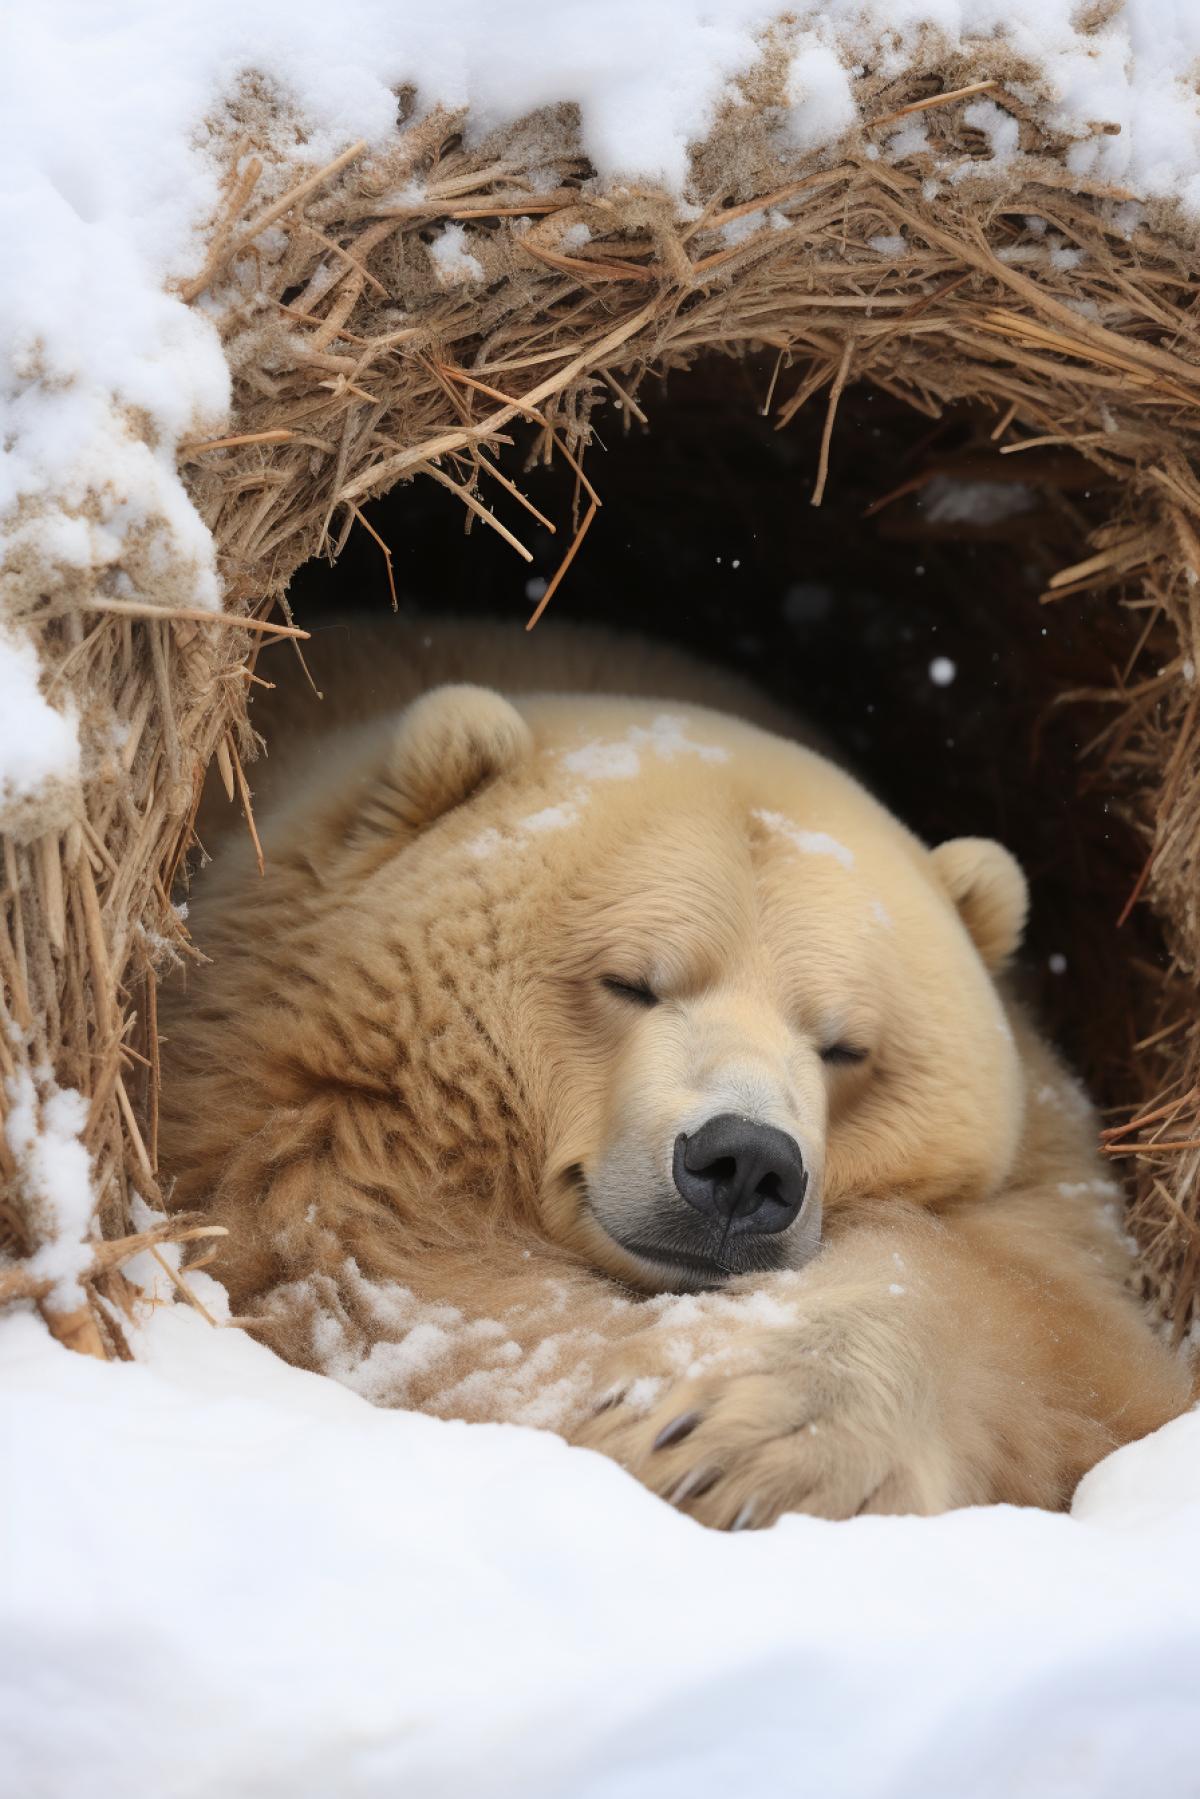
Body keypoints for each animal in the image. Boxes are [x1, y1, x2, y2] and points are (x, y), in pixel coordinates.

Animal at [160, 616, 1192, 1526]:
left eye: (844, 1044)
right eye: (629, 981)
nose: (745, 1163)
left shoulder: (1054, 1178)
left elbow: (1059, 1327)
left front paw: (748, 1437)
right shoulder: (291, 1119)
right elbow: (384, 1278)